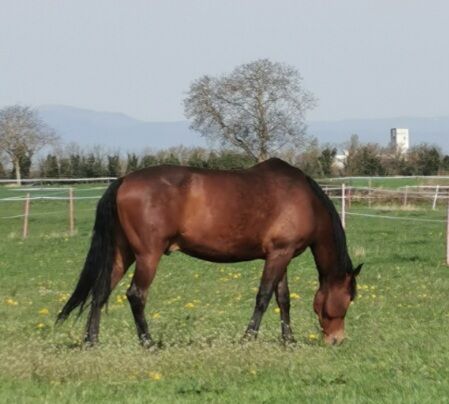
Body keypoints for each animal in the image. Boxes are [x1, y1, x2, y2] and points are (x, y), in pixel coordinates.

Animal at [57, 158, 362, 348]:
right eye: (348, 299)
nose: (337, 340)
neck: (305, 200)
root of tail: (123, 180)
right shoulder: (278, 255)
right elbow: (263, 297)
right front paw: (248, 338)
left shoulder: (280, 255)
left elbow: (283, 299)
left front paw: (289, 340)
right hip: (147, 256)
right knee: (135, 295)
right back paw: (148, 342)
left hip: (123, 254)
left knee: (100, 292)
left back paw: (91, 341)